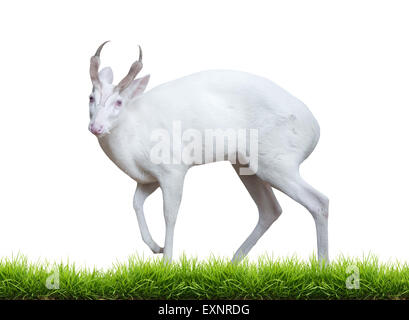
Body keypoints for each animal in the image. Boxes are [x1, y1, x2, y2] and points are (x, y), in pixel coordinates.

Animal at [87, 41, 328, 262]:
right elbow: (136, 202)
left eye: (119, 102)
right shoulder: (149, 179)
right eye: (90, 97)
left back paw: (322, 266)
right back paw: (231, 263)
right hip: (245, 165)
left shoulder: (173, 169)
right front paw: (156, 248)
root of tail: (315, 130)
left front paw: (167, 262)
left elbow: (169, 214)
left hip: (276, 162)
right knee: (271, 209)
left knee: (319, 202)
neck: (133, 133)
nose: (95, 127)